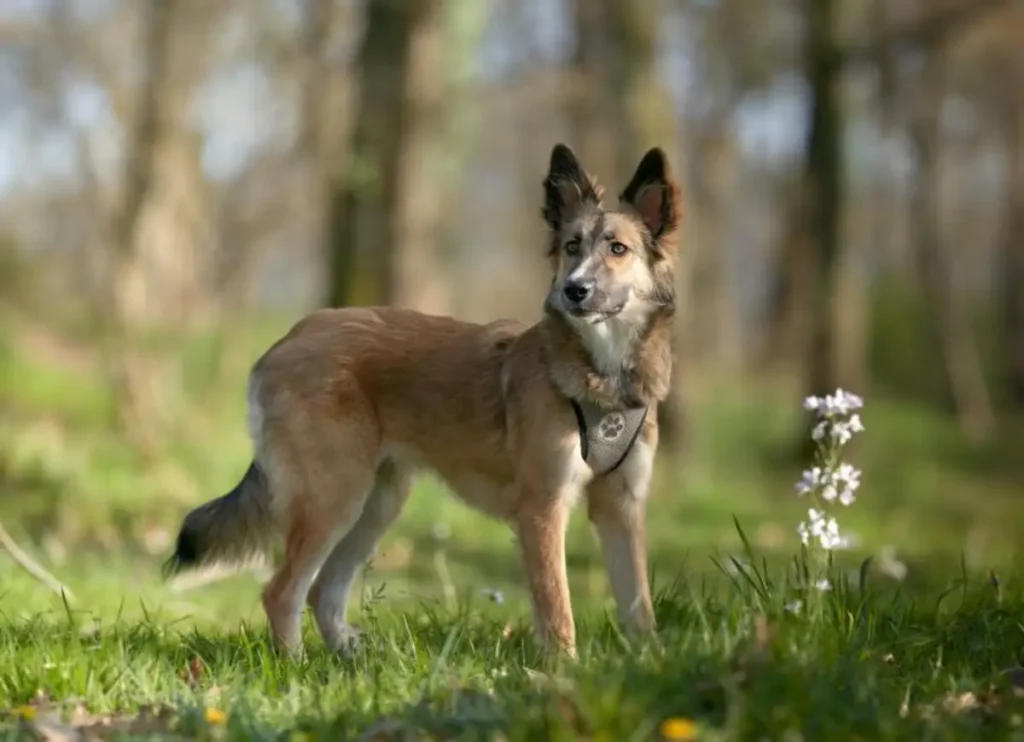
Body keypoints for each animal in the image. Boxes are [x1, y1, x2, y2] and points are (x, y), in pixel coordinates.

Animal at [165, 143, 679, 655]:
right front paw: (562, 670)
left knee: (321, 588)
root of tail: (290, 337)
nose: (574, 290)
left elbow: (639, 605)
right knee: (282, 591)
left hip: (377, 502)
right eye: (572, 246)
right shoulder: (543, 508)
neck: (602, 373)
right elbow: (557, 612)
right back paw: (294, 665)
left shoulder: (621, 508)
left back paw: (345, 658)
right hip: (335, 497)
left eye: (617, 249)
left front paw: (650, 662)